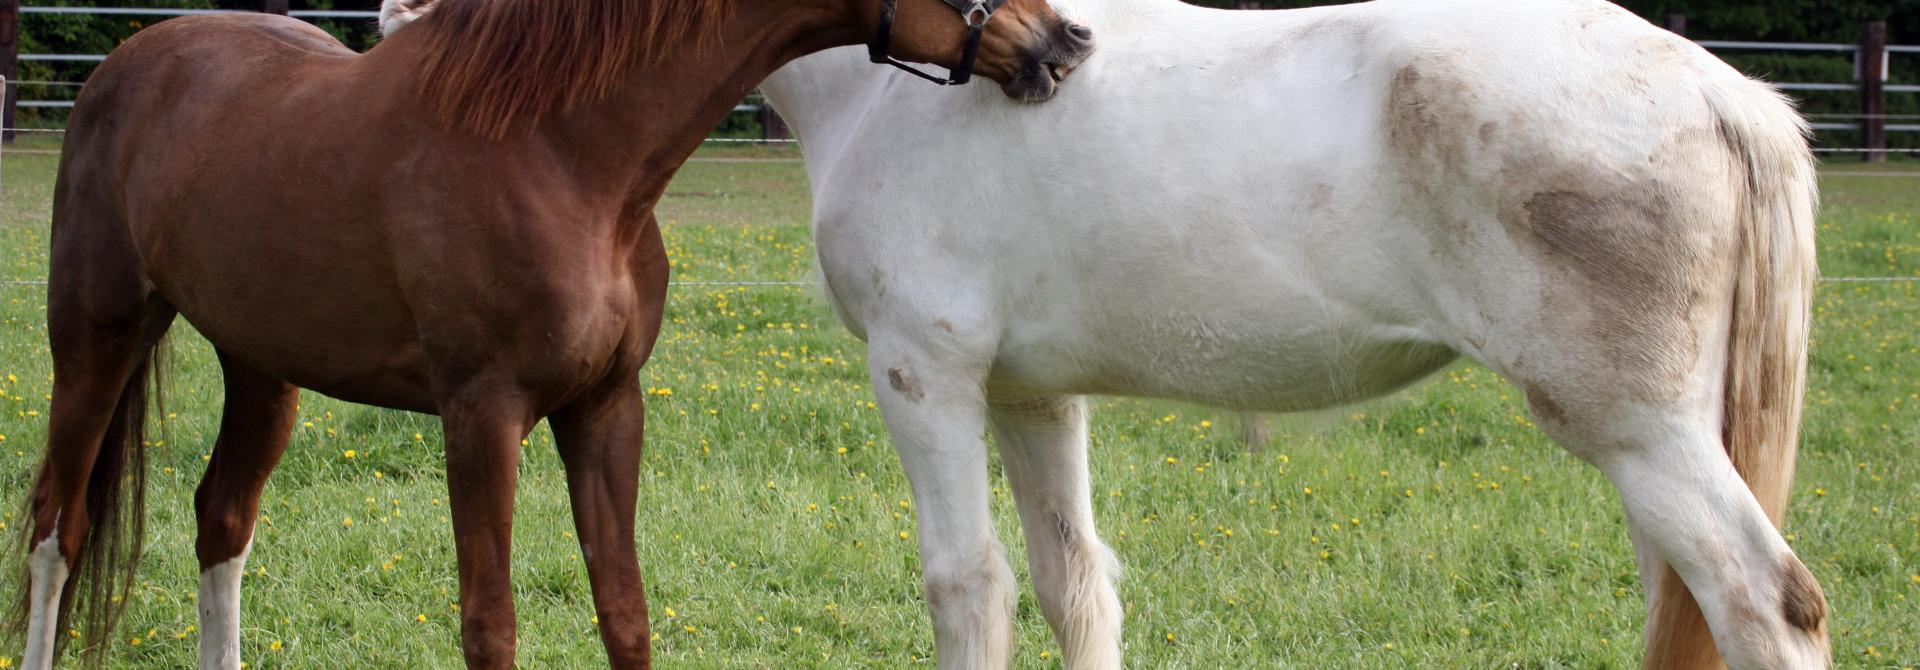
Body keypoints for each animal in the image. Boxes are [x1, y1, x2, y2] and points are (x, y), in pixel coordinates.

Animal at [9, 1, 1093, 669]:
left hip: (262, 368)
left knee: (222, 518)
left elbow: (625, 613)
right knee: (61, 525)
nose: (1064, 38)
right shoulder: (481, 416)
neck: (559, 150)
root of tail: (129, 65)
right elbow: (491, 625)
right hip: (95, 337)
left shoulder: (607, 407)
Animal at [387, 0, 1826, 667]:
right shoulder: (1034, 396)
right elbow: (1075, 578)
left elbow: (969, 583)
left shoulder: (924, 374)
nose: (398, 27)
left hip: (1637, 437)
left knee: (1767, 599)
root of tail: (1715, 88)